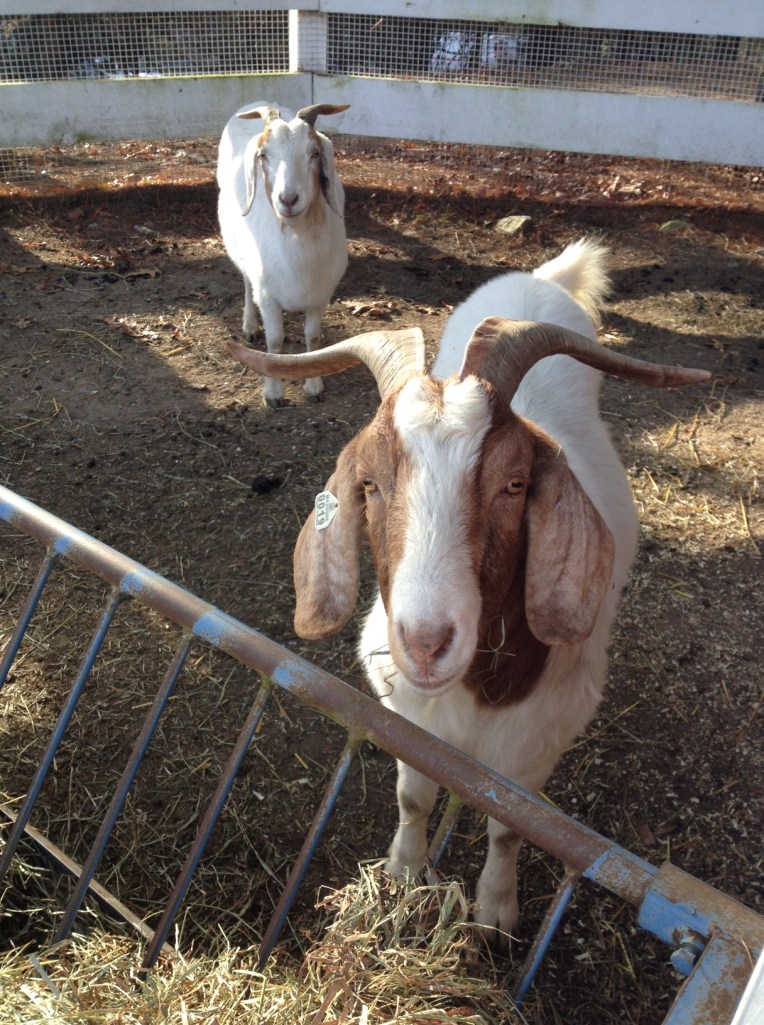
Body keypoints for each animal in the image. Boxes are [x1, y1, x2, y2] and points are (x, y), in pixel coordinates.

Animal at [218, 102, 349, 407]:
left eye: (314, 153)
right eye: (264, 155)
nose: (288, 200)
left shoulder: (320, 295)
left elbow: (313, 339)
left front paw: (314, 386)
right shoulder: (268, 296)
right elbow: (275, 342)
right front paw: (274, 393)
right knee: (246, 283)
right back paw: (250, 325)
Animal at [228, 240, 710, 940]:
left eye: (515, 483)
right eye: (369, 483)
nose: (427, 643)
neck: (472, 693)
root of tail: (538, 279)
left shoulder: (537, 744)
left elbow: (509, 829)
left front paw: (495, 911)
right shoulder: (407, 713)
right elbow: (414, 796)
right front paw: (404, 871)